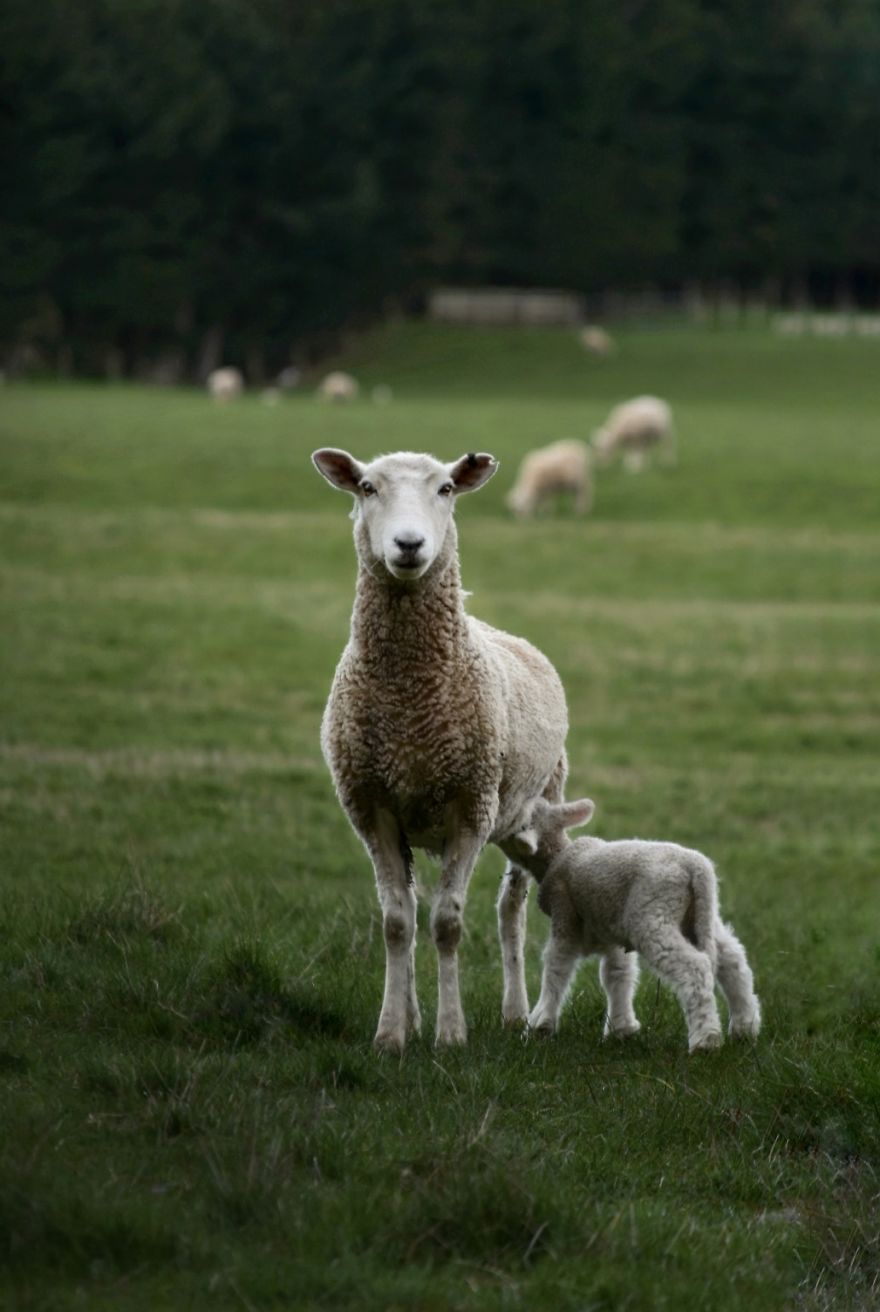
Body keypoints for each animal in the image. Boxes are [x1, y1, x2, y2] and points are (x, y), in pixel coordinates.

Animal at [312, 447, 569, 1053]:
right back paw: (414, 1015)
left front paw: (451, 1034)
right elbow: (397, 921)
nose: (409, 545)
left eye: (447, 488)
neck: (411, 701)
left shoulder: (470, 806)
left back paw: (518, 1013)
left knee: (512, 910)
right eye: (367, 487)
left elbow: (448, 923)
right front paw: (392, 1032)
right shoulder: (371, 807)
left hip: (532, 809)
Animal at [500, 797, 761, 1053]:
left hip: (653, 916)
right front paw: (621, 1030)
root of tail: (696, 868)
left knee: (696, 967)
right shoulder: (611, 931)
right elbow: (617, 974)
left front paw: (539, 1025)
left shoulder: (565, 918)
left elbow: (557, 967)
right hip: (699, 917)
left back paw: (706, 1041)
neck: (557, 856)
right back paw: (744, 1028)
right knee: (732, 960)